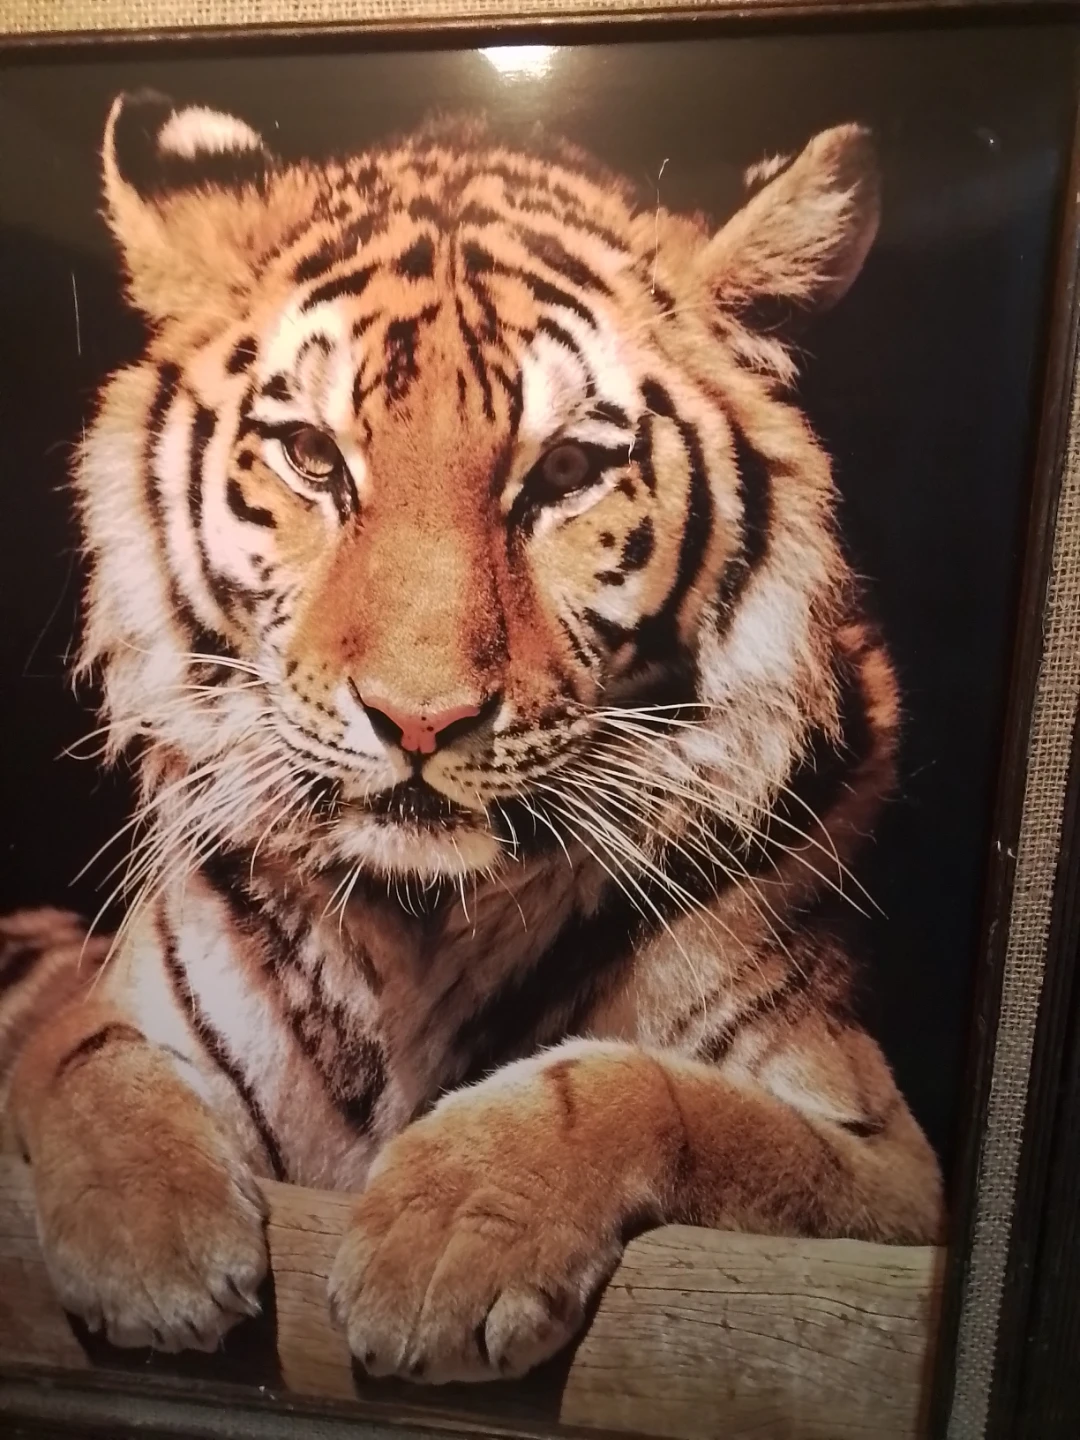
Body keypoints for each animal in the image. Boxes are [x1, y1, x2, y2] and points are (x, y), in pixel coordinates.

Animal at [2, 91, 943, 1385]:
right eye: (313, 457)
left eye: (566, 470)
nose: (420, 717)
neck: (416, 933)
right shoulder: (104, 1014)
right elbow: (79, 1052)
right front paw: (155, 1247)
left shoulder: (895, 1171)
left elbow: (669, 1102)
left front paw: (446, 1236)